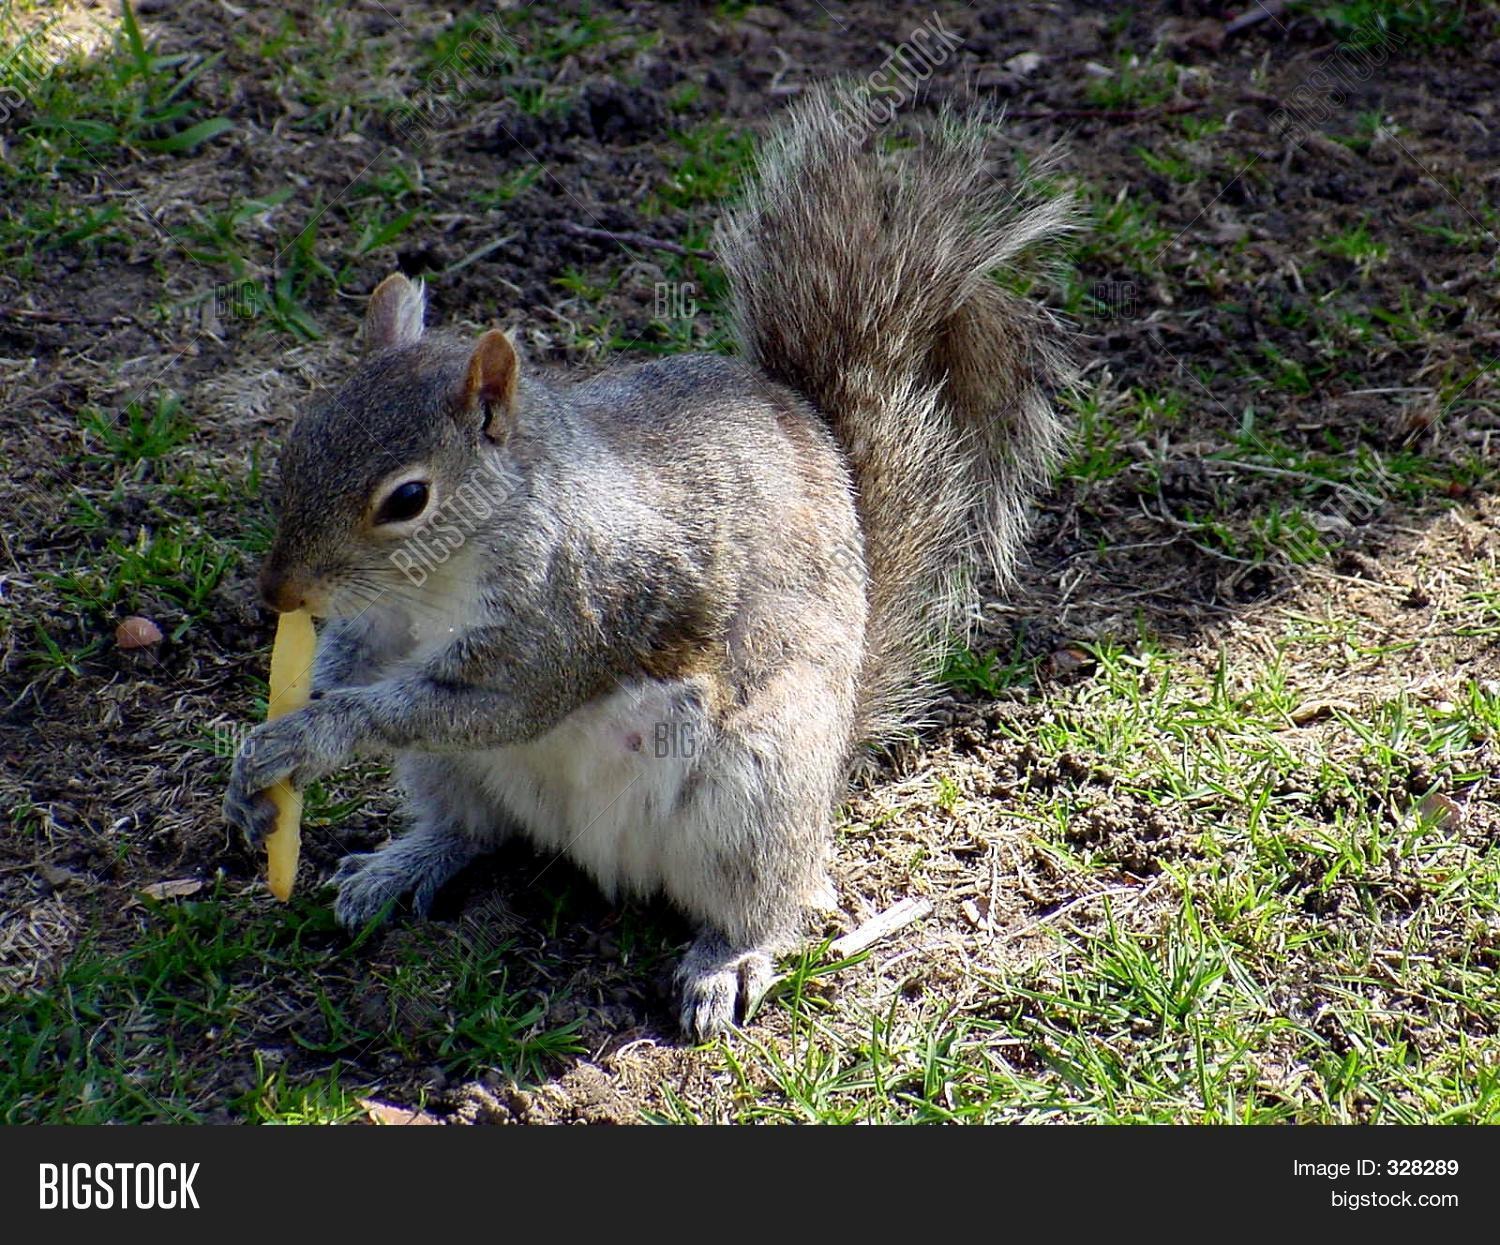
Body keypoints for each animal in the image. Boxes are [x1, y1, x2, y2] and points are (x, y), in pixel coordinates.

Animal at [223, 83, 1073, 1039]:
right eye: (299, 438)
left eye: (407, 498)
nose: (277, 592)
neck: (437, 583)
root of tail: (600, 855)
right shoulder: (382, 624)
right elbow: (351, 662)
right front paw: (262, 756)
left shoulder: (574, 618)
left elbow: (485, 703)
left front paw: (311, 733)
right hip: (454, 774)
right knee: (473, 827)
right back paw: (401, 863)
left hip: (759, 789)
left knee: (764, 898)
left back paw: (727, 959)